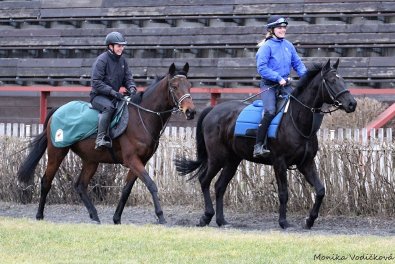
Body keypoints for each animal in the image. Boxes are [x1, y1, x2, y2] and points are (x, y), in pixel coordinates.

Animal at [17, 63, 196, 224]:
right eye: (174, 86)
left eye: (189, 86)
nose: (191, 111)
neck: (142, 117)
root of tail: (57, 110)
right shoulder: (133, 160)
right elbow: (151, 184)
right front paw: (160, 216)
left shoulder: (140, 161)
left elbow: (126, 189)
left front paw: (117, 218)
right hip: (57, 152)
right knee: (46, 181)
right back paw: (39, 215)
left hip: (91, 160)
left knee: (80, 185)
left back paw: (94, 215)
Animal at [175, 59, 358, 229]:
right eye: (332, 80)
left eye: (343, 80)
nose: (352, 104)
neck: (296, 120)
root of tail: (213, 111)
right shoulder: (279, 163)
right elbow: (283, 193)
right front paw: (284, 222)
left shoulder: (306, 163)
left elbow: (320, 190)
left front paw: (309, 220)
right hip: (217, 158)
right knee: (204, 181)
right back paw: (206, 217)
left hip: (232, 161)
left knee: (220, 186)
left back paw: (222, 221)